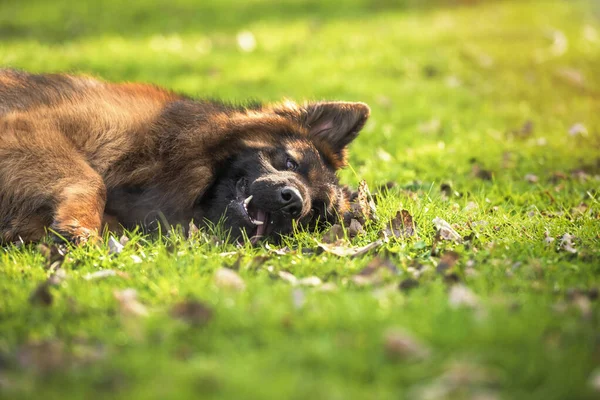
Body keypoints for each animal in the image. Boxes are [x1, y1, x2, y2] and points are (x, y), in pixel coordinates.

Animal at [0, 69, 370, 244]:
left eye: (316, 211)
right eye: (290, 162)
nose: (294, 201)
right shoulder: (27, 126)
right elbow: (91, 180)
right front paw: (79, 224)